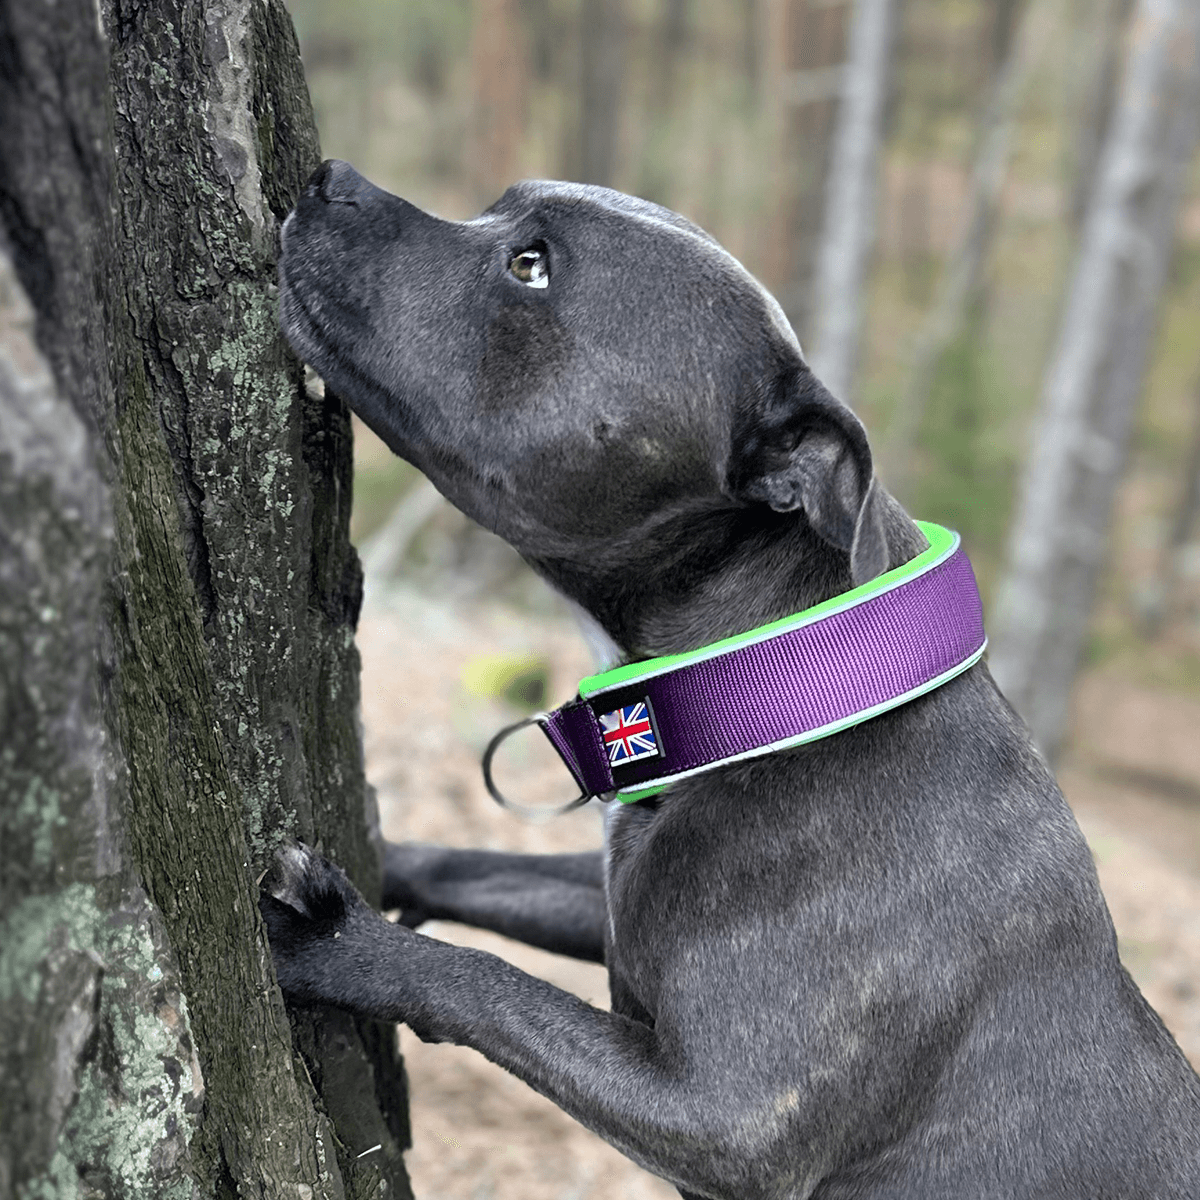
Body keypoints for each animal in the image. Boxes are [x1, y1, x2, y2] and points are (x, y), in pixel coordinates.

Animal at [265, 162, 1200, 1200]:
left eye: (531, 265)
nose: (330, 178)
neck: (778, 685)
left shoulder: (725, 1117)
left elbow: (490, 985)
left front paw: (338, 943)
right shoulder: (614, 906)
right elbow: (477, 870)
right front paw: (389, 853)